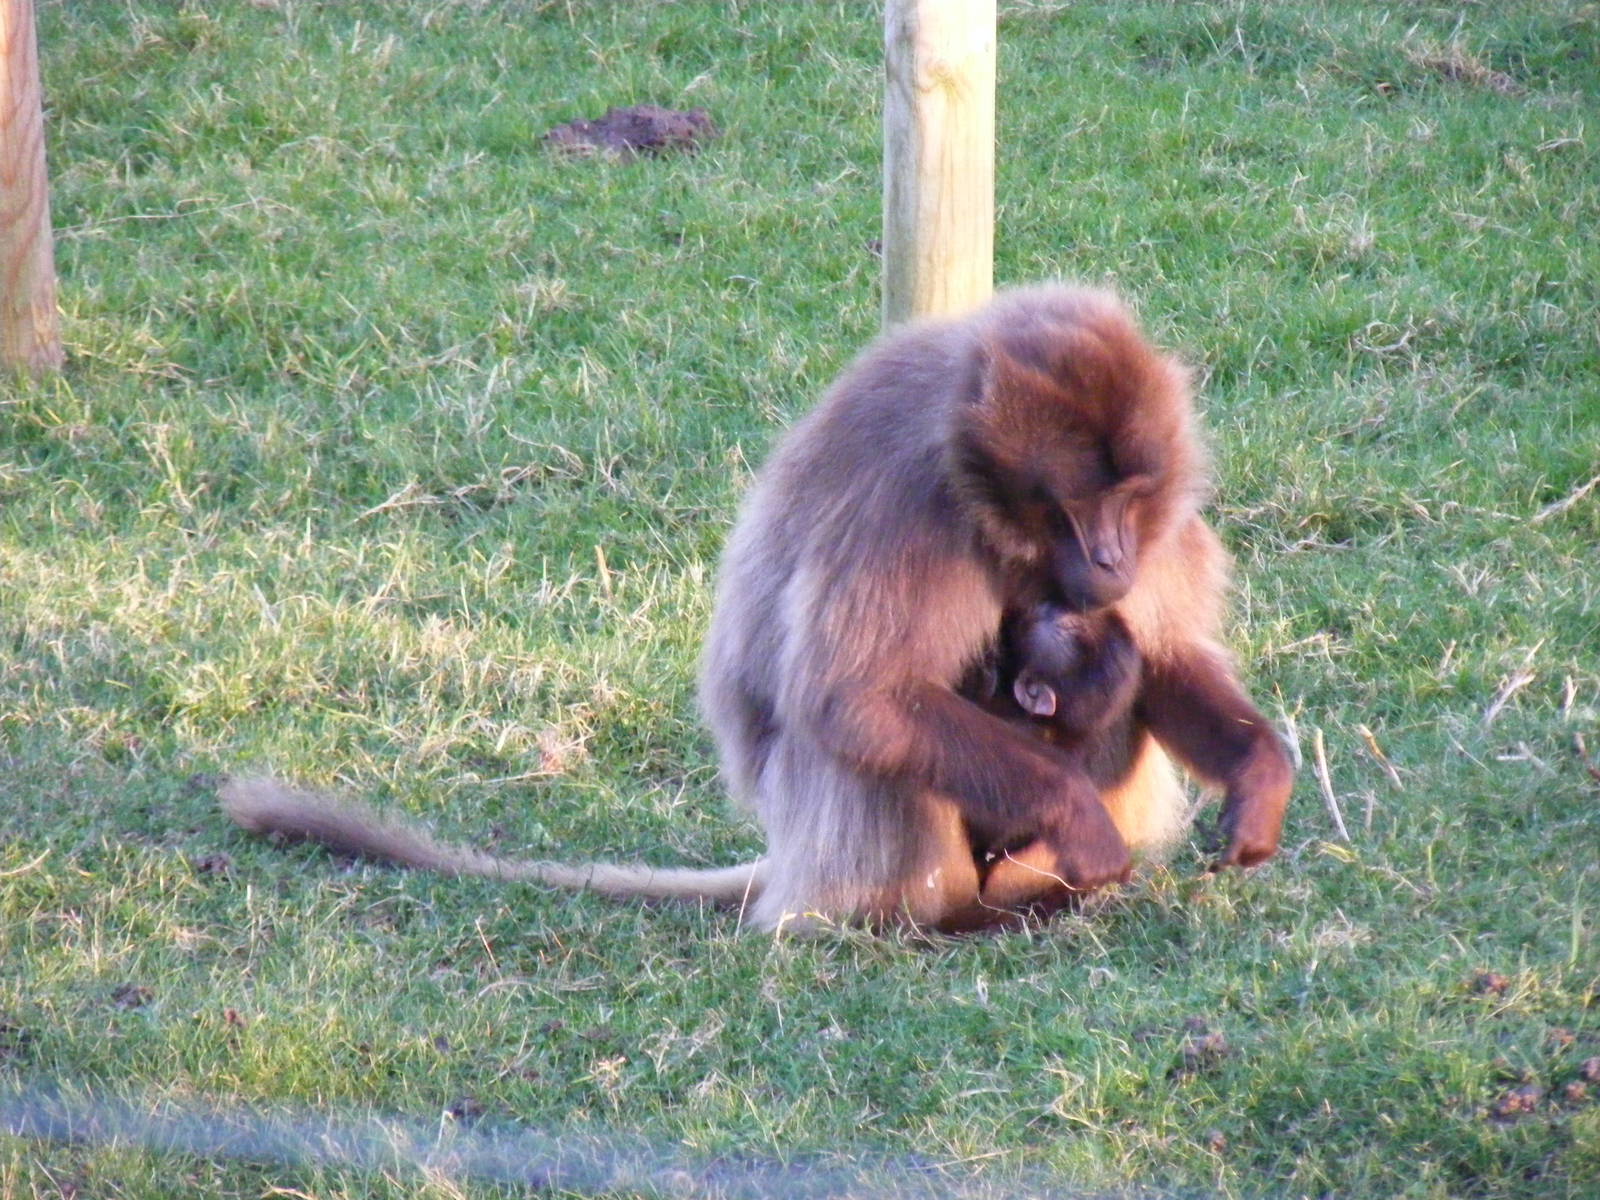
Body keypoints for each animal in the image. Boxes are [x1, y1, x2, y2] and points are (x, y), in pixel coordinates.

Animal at [221, 284, 1292, 933]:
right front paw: (1077, 818)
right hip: (846, 854)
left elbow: (1164, 655)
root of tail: (786, 866)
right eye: (1075, 506)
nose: (1110, 558)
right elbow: (855, 700)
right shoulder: (910, 509)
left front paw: (1258, 775)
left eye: (1130, 497)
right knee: (863, 741)